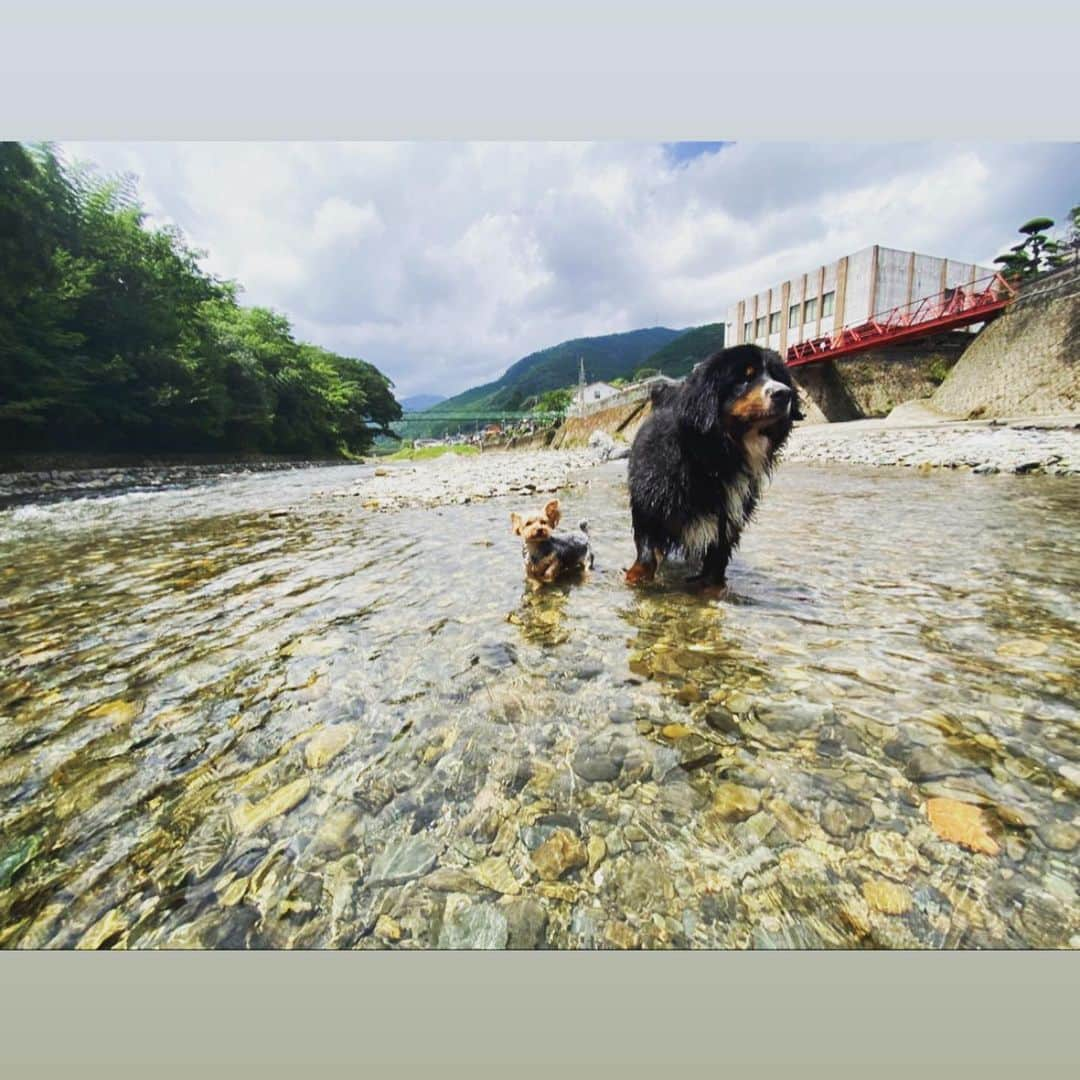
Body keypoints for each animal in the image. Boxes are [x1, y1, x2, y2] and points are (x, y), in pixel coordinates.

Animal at [626, 343, 803, 591]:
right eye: (745, 378)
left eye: (777, 376)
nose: (783, 393)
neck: (715, 459)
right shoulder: (649, 504)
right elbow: (647, 551)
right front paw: (637, 578)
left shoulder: (728, 518)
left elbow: (715, 562)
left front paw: (711, 588)